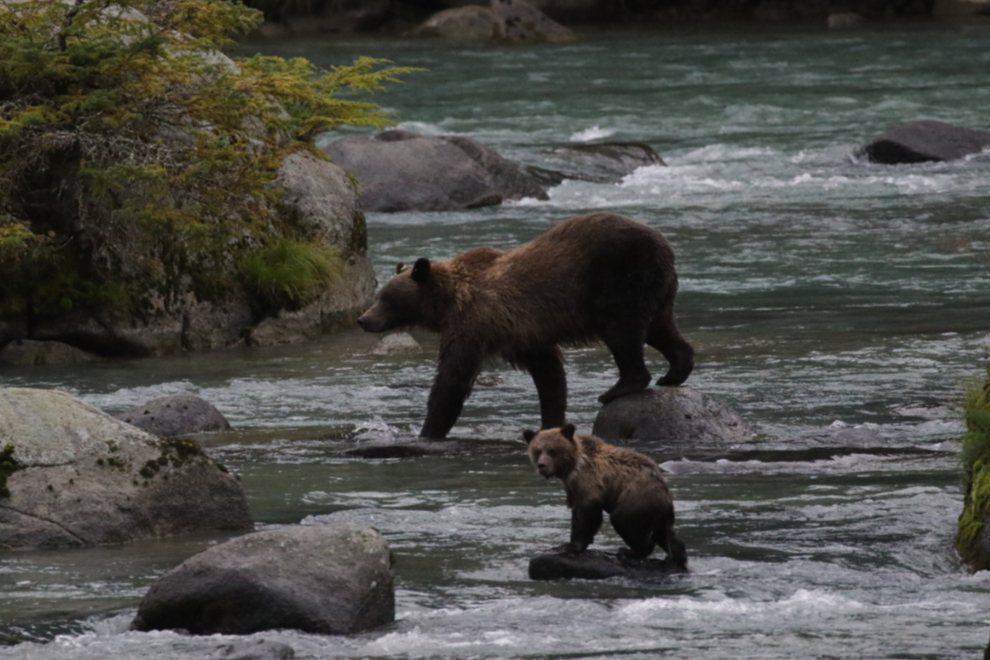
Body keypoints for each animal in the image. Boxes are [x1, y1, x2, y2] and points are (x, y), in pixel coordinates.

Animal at [358, 211, 696, 438]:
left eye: (386, 298)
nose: (363, 319)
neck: (448, 301)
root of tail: (667, 247)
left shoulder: (476, 323)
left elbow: (454, 377)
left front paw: (429, 429)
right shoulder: (520, 334)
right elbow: (548, 373)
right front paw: (551, 420)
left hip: (620, 278)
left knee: (622, 330)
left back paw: (618, 388)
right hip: (657, 290)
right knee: (660, 328)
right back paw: (674, 372)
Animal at [528, 426, 688, 564]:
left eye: (552, 450)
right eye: (537, 451)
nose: (542, 465)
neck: (572, 466)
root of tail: (666, 492)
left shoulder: (588, 482)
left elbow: (587, 513)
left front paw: (573, 545)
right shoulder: (571, 487)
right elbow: (576, 513)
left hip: (637, 497)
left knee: (623, 520)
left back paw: (630, 551)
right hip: (658, 512)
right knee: (665, 534)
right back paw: (677, 556)